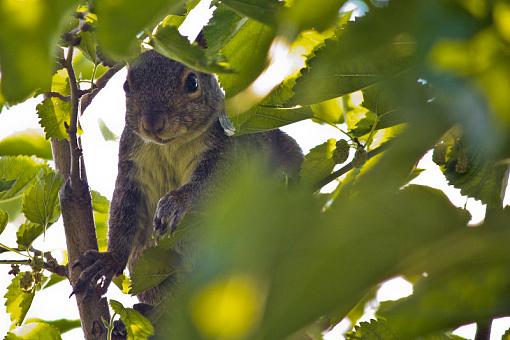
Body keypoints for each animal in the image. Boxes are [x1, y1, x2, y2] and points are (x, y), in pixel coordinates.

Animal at [71, 50, 302, 308]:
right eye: (126, 86)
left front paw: (174, 204)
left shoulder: (225, 152)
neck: (171, 145)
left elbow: (209, 184)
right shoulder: (132, 166)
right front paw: (109, 260)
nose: (152, 123)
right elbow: (125, 212)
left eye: (193, 83)